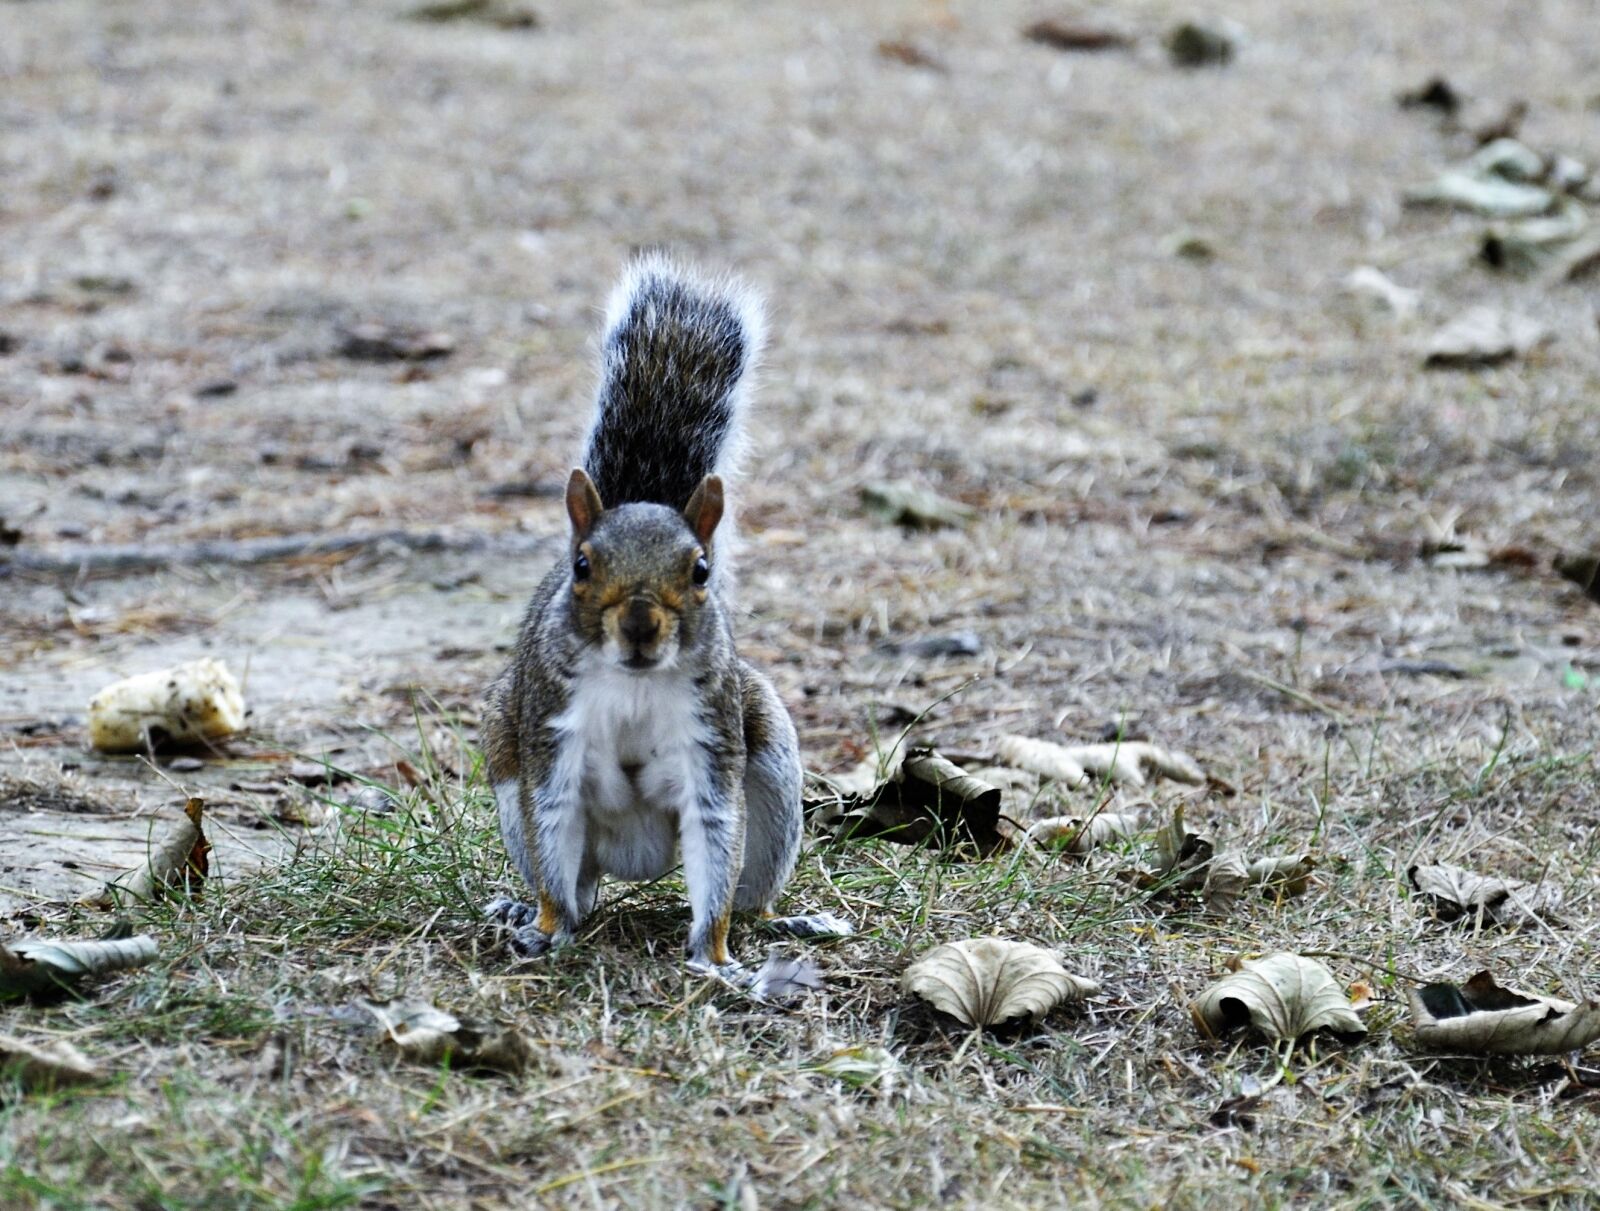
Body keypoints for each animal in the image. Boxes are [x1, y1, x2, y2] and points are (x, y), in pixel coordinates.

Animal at [481, 254, 849, 980]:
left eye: (701, 570)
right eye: (583, 566)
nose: (640, 627)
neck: (635, 683)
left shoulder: (710, 738)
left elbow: (714, 830)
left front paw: (713, 955)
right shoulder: (552, 735)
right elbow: (554, 823)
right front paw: (549, 931)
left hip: (772, 761)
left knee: (749, 886)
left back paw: (783, 919)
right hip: (508, 759)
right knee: (578, 882)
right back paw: (531, 908)